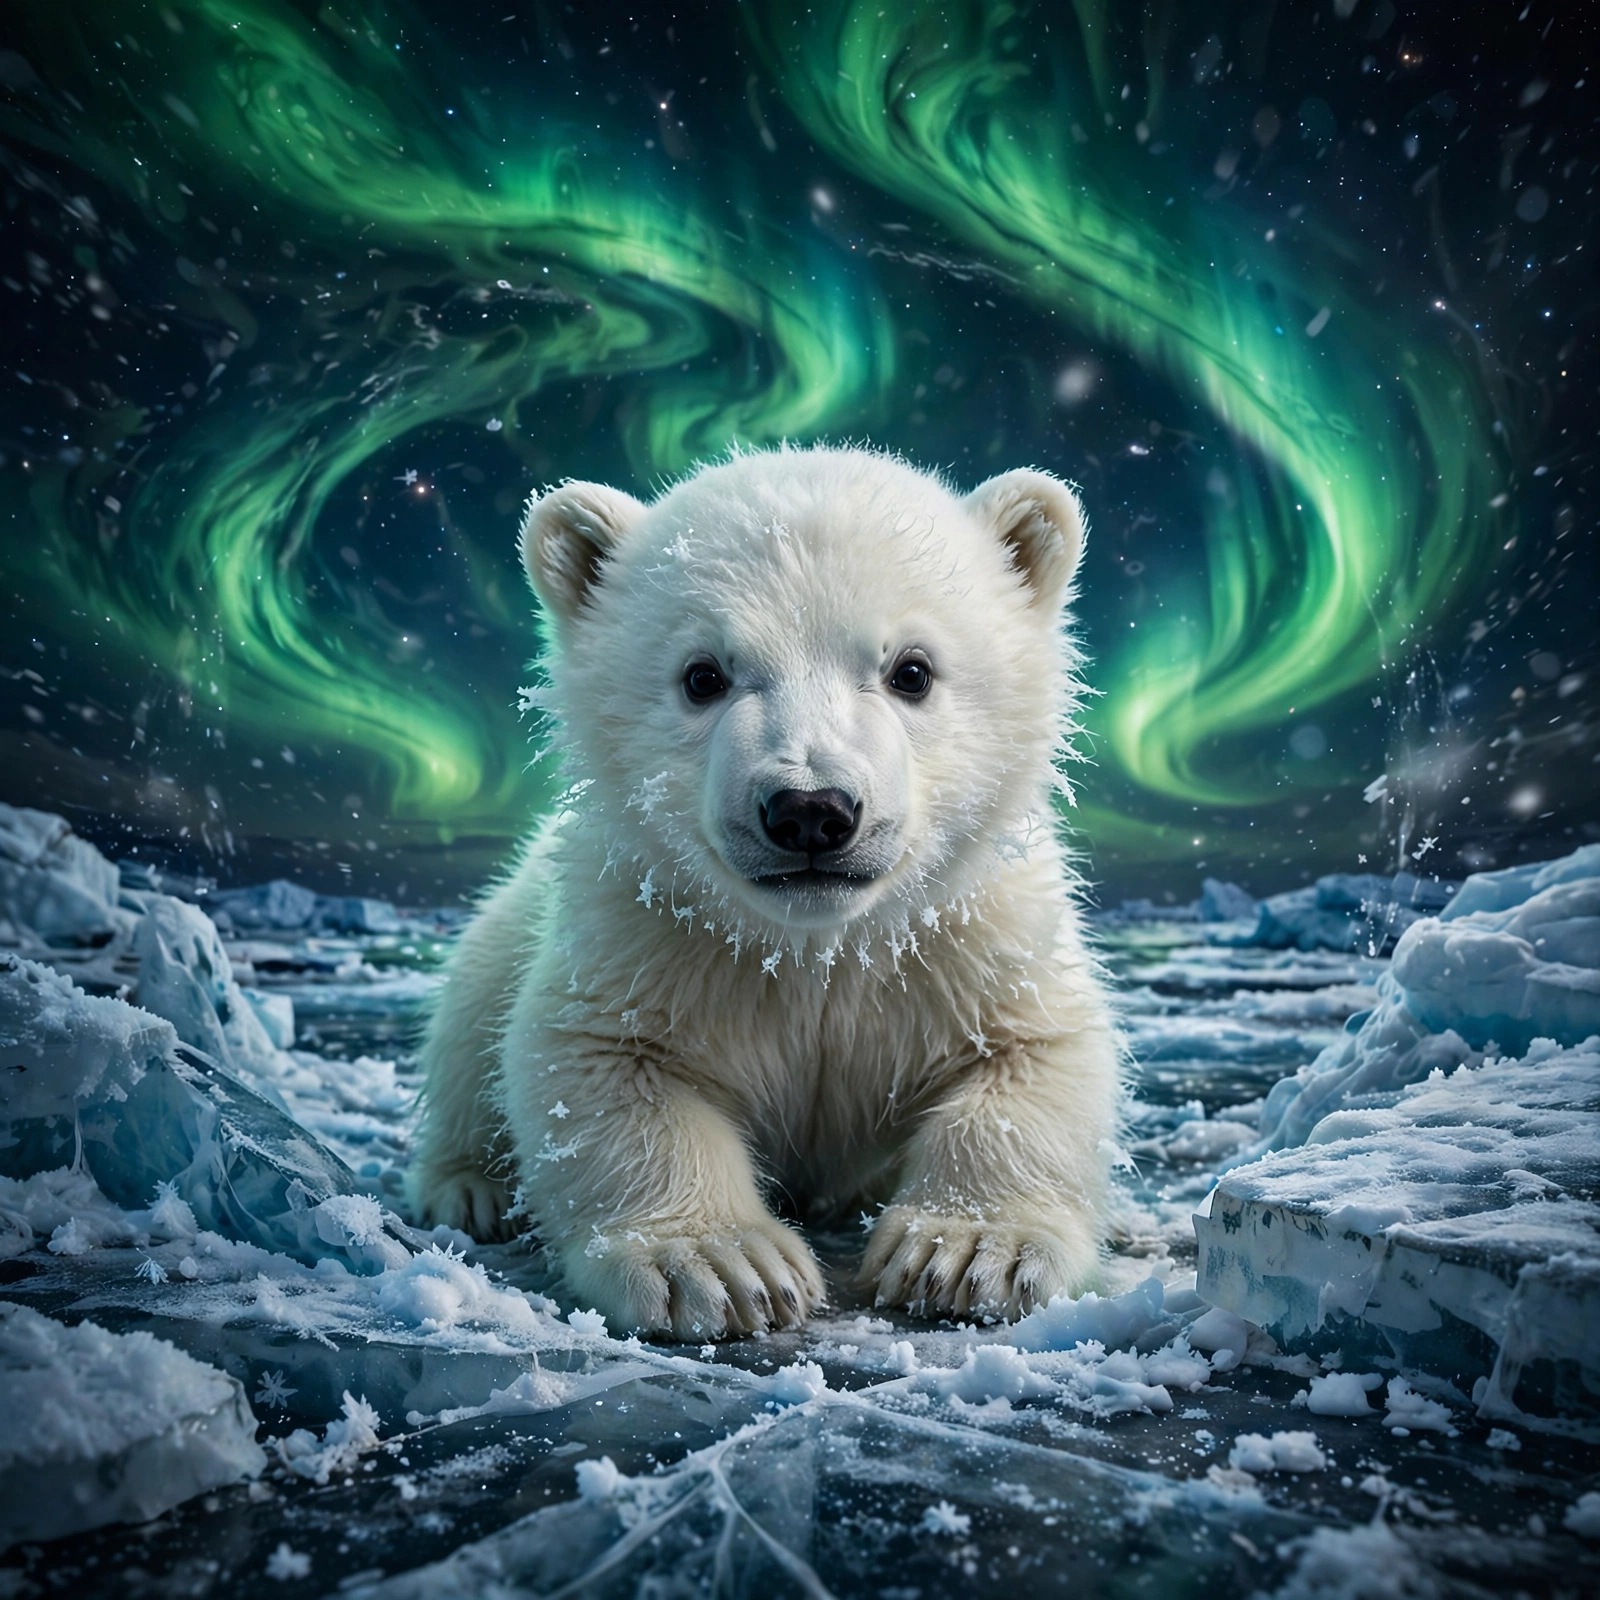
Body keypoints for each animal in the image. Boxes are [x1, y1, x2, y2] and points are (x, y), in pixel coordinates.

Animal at [406, 445, 1123, 1340]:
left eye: (911, 670)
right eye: (703, 675)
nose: (811, 810)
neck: (814, 944)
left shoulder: (970, 934)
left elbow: (1037, 1053)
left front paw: (968, 1251)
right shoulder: (645, 933)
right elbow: (598, 1063)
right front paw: (719, 1264)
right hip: (513, 916)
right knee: (471, 1018)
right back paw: (469, 1190)